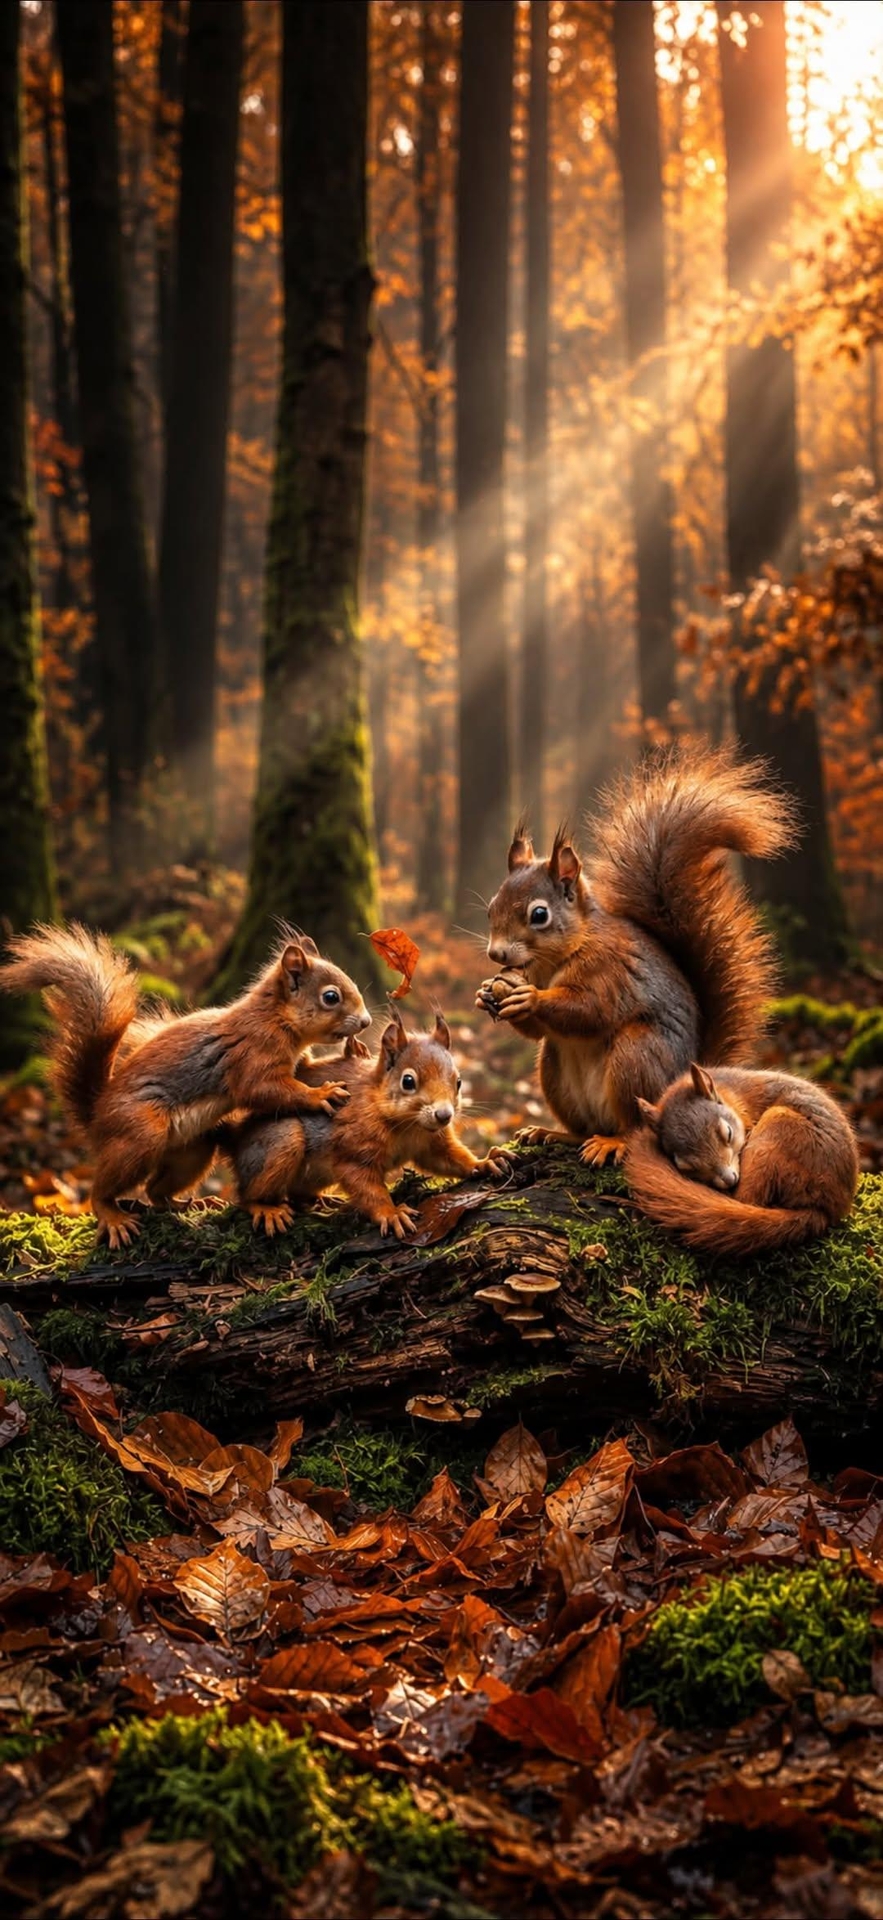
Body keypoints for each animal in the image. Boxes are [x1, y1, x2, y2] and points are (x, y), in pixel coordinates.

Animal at [1, 923, 371, 1247]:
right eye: (331, 997)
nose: (366, 1022)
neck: (275, 1019)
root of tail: (97, 1118)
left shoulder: (296, 1060)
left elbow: (306, 1069)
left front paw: (356, 1051)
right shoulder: (252, 1056)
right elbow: (266, 1091)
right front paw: (321, 1094)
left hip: (192, 1151)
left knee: (155, 1190)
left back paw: (192, 1203)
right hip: (140, 1134)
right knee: (102, 1189)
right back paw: (113, 1214)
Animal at [214, 1005, 510, 1238]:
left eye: (458, 1081)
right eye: (408, 1081)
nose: (444, 1115)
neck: (408, 1126)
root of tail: (237, 1141)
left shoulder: (431, 1142)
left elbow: (448, 1159)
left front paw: (484, 1162)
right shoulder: (354, 1148)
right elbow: (365, 1185)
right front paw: (391, 1213)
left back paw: (321, 1200)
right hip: (282, 1141)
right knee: (245, 1195)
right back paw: (265, 1208)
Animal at [477, 744, 797, 1167]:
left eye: (539, 915)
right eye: (492, 906)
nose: (496, 953)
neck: (558, 959)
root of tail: (688, 1077)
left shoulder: (611, 970)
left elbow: (590, 1009)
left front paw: (529, 998)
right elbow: (537, 1031)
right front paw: (487, 994)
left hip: (636, 1057)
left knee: (633, 1128)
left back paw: (612, 1143)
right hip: (553, 1069)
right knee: (581, 1127)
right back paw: (551, 1132)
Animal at [625, 1061, 859, 1254]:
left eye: (727, 1133)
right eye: (686, 1167)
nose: (729, 1179)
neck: (732, 1096)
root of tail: (826, 1208)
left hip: (776, 1134)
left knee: (747, 1199)